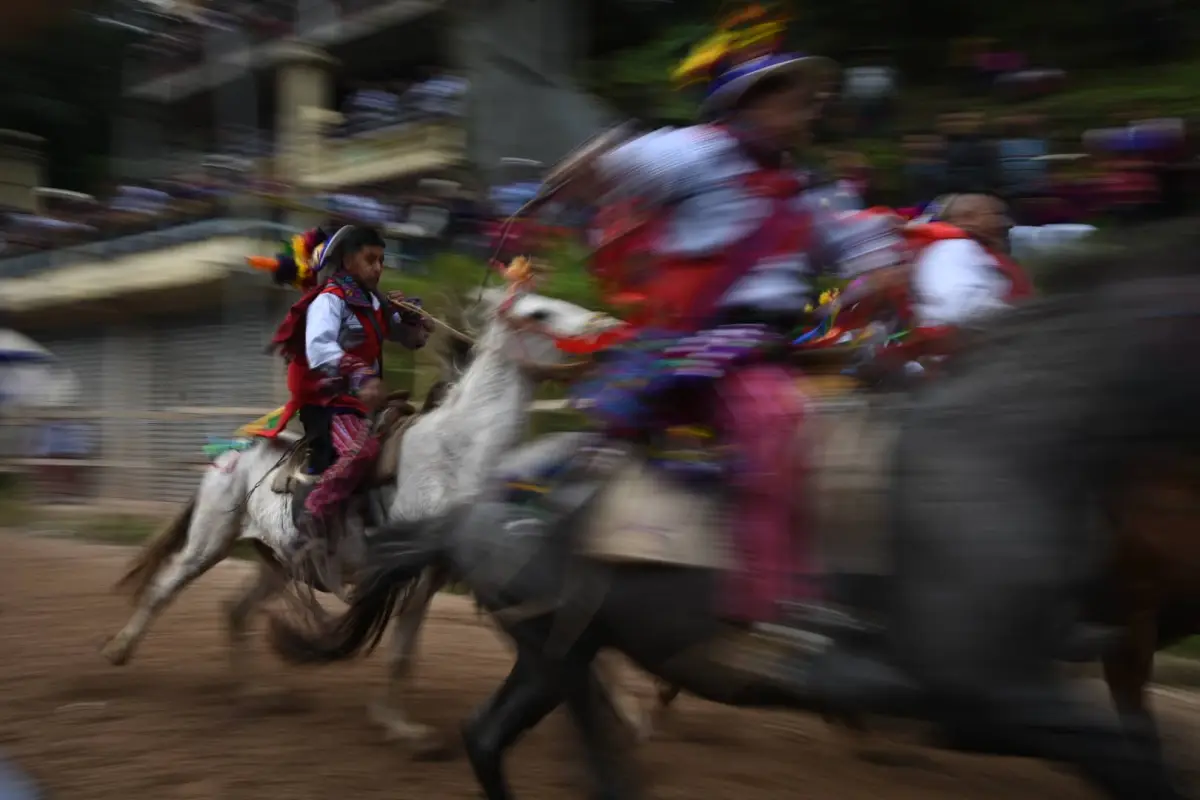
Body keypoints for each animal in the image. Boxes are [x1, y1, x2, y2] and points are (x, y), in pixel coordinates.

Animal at [102, 286, 619, 753]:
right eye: (539, 313)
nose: (608, 329)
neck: (453, 455)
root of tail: (233, 451)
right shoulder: (411, 571)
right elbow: (405, 647)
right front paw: (400, 727)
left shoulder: (444, 573)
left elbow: (418, 648)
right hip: (209, 541)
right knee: (165, 585)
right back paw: (118, 651)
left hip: (279, 563)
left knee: (235, 610)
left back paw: (254, 694)